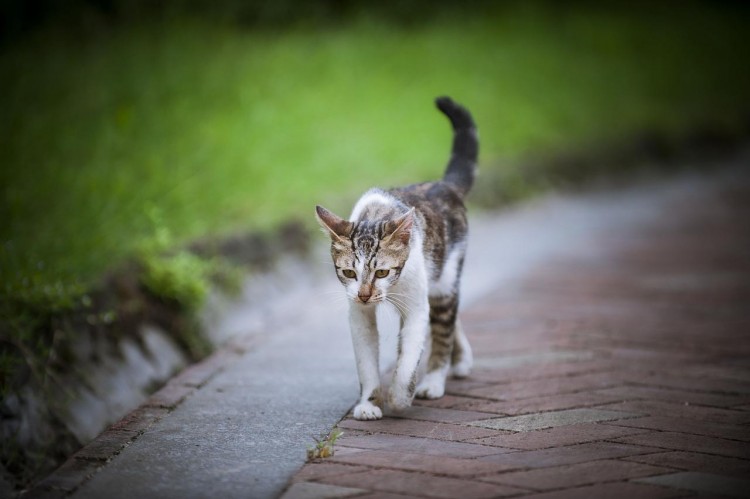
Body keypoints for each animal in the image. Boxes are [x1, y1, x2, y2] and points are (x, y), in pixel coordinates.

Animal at [314, 97, 478, 422]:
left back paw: (435, 380)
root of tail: (443, 185)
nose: (365, 295)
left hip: (444, 275)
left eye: (381, 272)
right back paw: (461, 359)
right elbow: (366, 360)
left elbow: (409, 357)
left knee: (443, 323)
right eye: (349, 273)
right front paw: (368, 402)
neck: (376, 215)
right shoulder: (357, 313)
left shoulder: (415, 304)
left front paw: (400, 398)